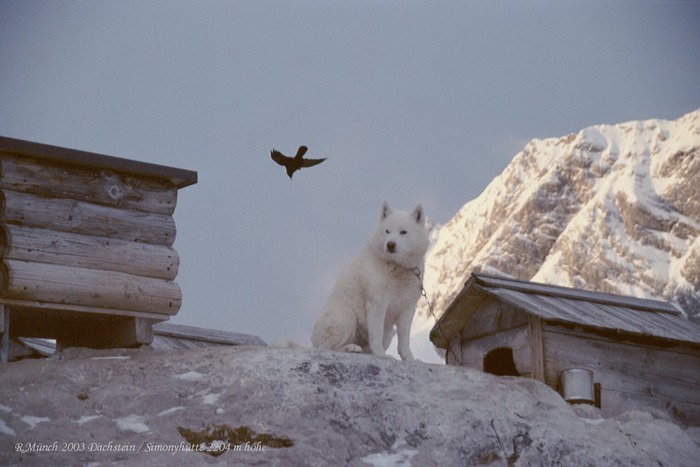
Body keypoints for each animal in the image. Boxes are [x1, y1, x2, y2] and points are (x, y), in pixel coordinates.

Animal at [310, 202, 430, 362]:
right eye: (387, 231)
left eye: (403, 232)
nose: (390, 244)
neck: (396, 266)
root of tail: (313, 341)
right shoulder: (377, 304)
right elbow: (376, 335)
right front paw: (381, 355)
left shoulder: (407, 309)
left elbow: (404, 340)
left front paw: (409, 359)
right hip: (346, 316)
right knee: (328, 348)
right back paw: (351, 348)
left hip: (388, 333)